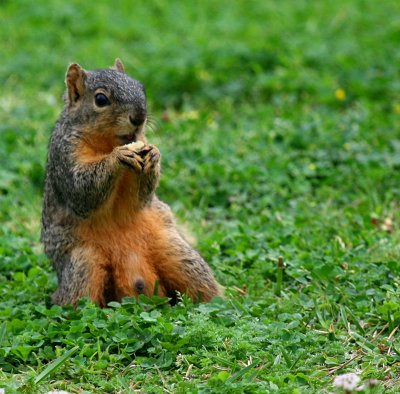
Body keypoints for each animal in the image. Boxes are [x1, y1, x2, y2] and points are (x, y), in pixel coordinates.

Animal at [40, 58, 222, 306]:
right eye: (100, 99)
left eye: (141, 88)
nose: (139, 117)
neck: (108, 143)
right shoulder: (64, 155)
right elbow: (81, 191)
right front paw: (116, 157)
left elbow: (139, 198)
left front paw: (154, 155)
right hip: (83, 264)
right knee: (77, 299)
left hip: (179, 255)